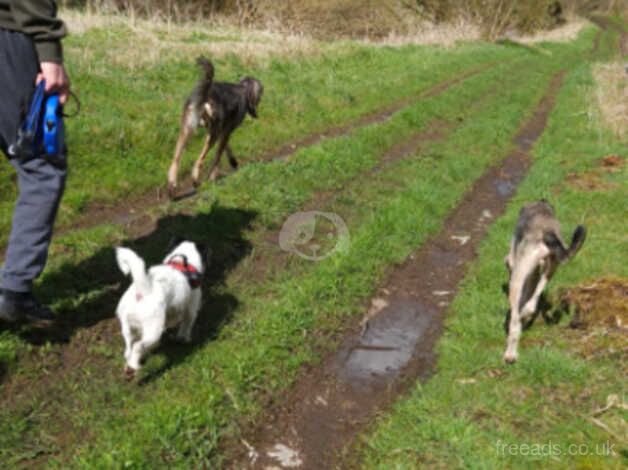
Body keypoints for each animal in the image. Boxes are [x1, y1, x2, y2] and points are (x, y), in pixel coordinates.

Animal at [114, 241, 205, 376]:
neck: (180, 263)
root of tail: (143, 291)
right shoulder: (191, 308)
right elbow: (186, 325)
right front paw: (184, 339)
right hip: (153, 329)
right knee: (138, 346)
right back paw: (134, 365)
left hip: (127, 325)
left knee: (129, 344)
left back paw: (131, 359)